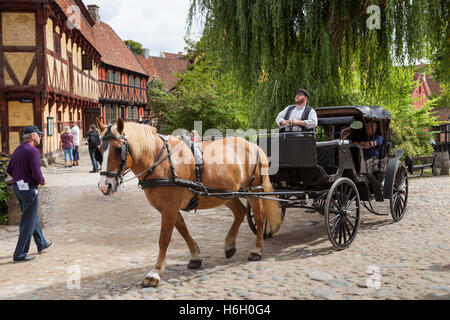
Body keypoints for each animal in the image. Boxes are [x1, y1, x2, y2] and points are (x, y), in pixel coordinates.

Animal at [96, 117, 284, 288]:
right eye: (99, 149)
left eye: (118, 149)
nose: (105, 186)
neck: (161, 161)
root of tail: (252, 145)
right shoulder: (169, 209)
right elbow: (183, 231)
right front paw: (195, 256)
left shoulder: (170, 209)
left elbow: (164, 239)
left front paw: (155, 273)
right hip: (224, 194)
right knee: (240, 212)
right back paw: (229, 245)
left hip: (254, 191)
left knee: (259, 217)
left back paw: (257, 250)